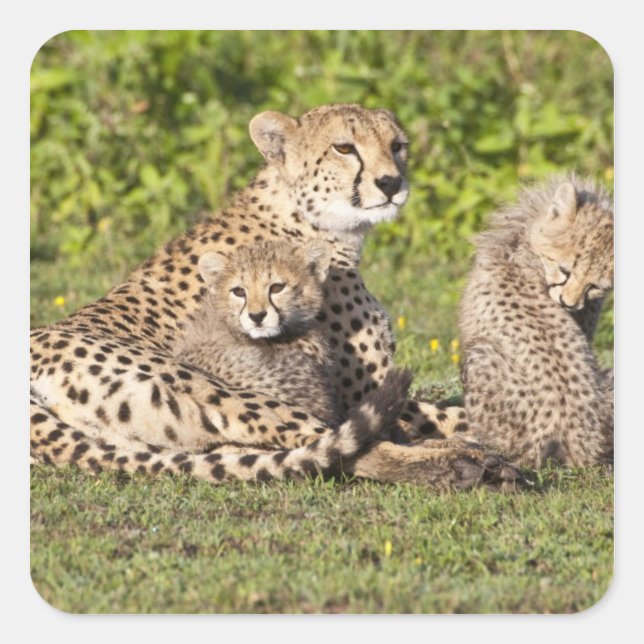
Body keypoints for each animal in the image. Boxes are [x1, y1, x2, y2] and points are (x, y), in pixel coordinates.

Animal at [30, 103, 521, 489]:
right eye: (345, 148)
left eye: (397, 145)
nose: (390, 183)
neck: (310, 220)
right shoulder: (352, 388)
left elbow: (463, 411)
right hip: (216, 388)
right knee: (343, 445)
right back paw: (467, 465)